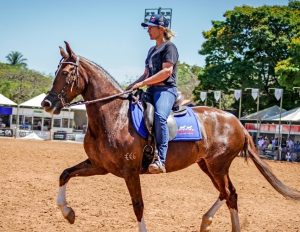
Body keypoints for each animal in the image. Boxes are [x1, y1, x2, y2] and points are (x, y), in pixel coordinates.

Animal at [41, 40, 300, 231]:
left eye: (67, 73)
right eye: (56, 72)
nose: (47, 103)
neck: (114, 116)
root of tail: (237, 122)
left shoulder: (130, 172)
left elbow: (138, 206)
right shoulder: (99, 165)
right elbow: (64, 174)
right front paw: (68, 213)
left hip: (218, 165)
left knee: (229, 194)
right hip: (207, 165)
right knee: (227, 193)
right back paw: (206, 221)